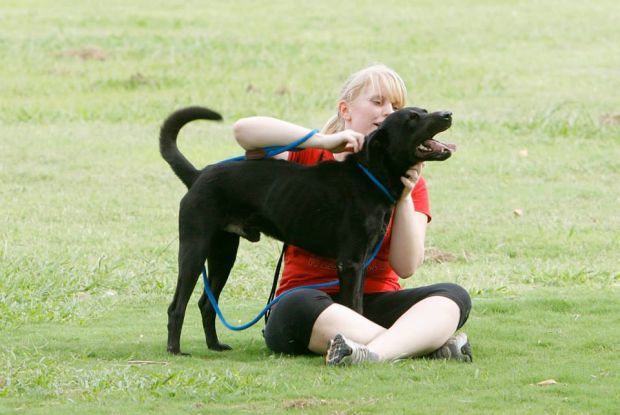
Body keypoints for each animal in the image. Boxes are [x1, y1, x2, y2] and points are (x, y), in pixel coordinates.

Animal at [157, 105, 452, 354]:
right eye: (412, 118)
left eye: (424, 110)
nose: (447, 114)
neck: (371, 177)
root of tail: (198, 175)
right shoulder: (351, 263)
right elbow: (353, 309)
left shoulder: (359, 263)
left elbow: (358, 307)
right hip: (195, 249)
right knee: (176, 306)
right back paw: (174, 349)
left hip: (224, 253)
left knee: (206, 304)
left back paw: (215, 345)